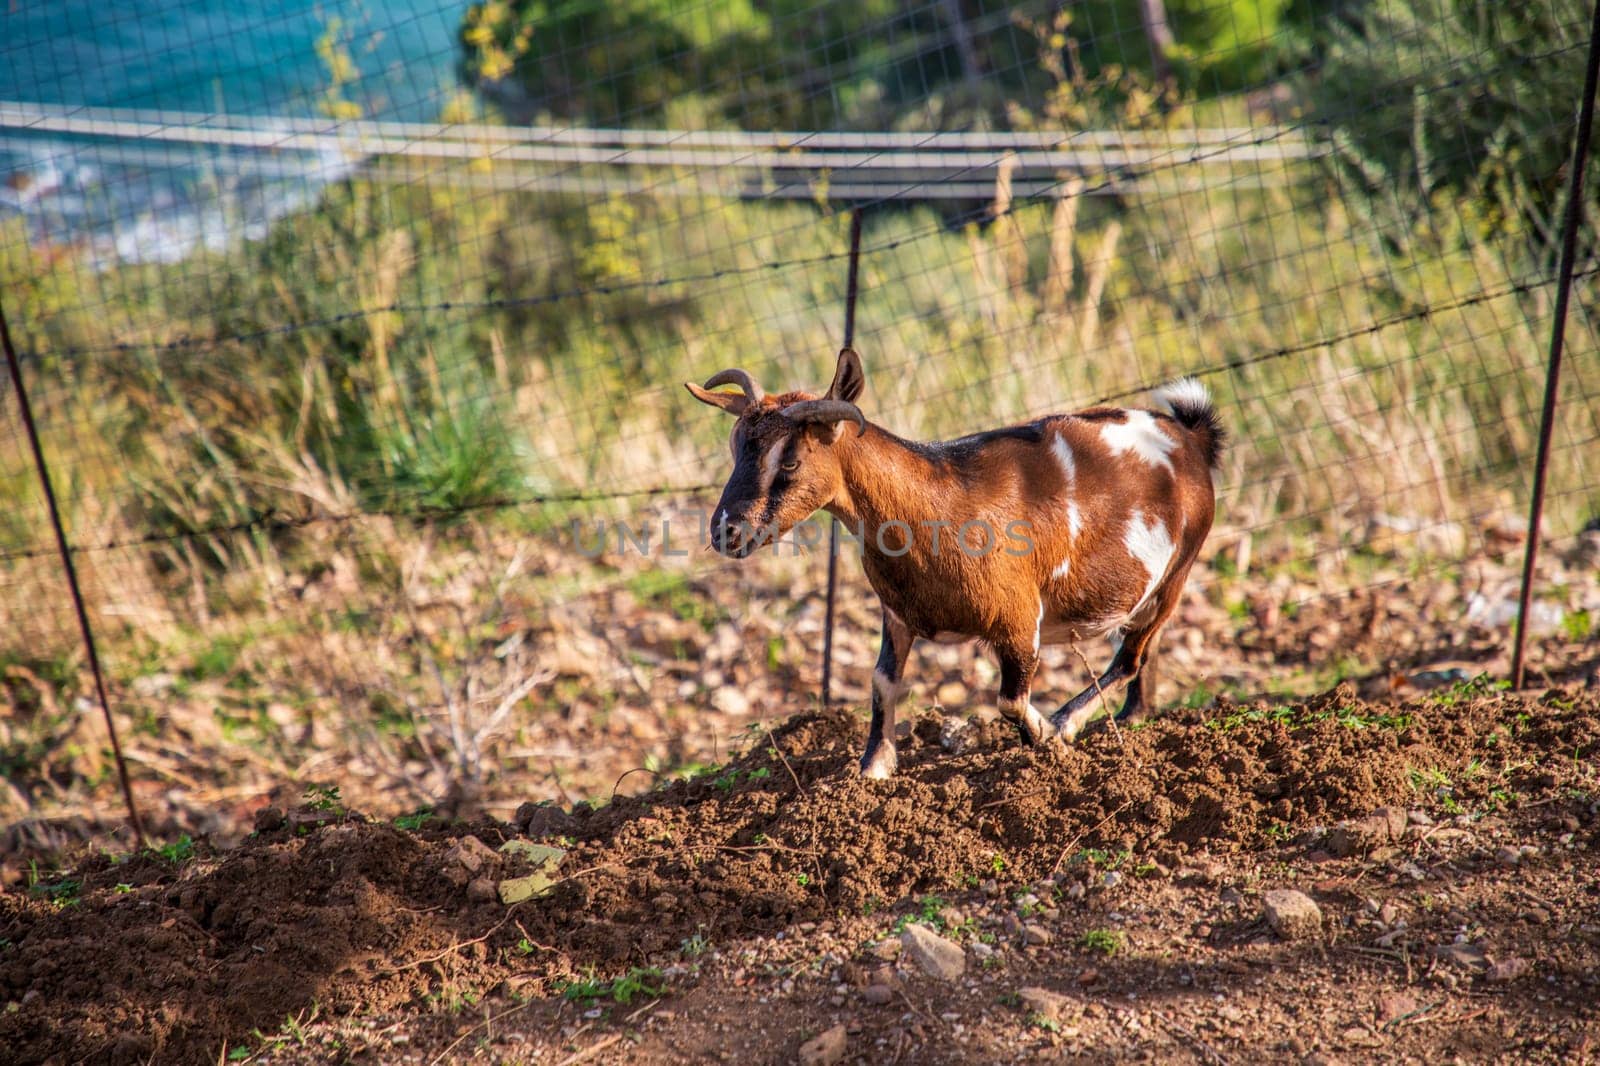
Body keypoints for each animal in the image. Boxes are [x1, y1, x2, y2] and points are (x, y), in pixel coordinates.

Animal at [681, 352, 1216, 777]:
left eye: (789, 461)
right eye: (735, 447)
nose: (726, 532)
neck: (940, 505)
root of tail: (1189, 437)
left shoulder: (1019, 620)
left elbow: (1010, 700)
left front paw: (1047, 739)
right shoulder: (898, 614)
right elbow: (882, 681)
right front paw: (873, 768)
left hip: (1176, 573)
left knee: (1131, 656)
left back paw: (1069, 721)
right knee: (1142, 655)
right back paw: (1132, 718)